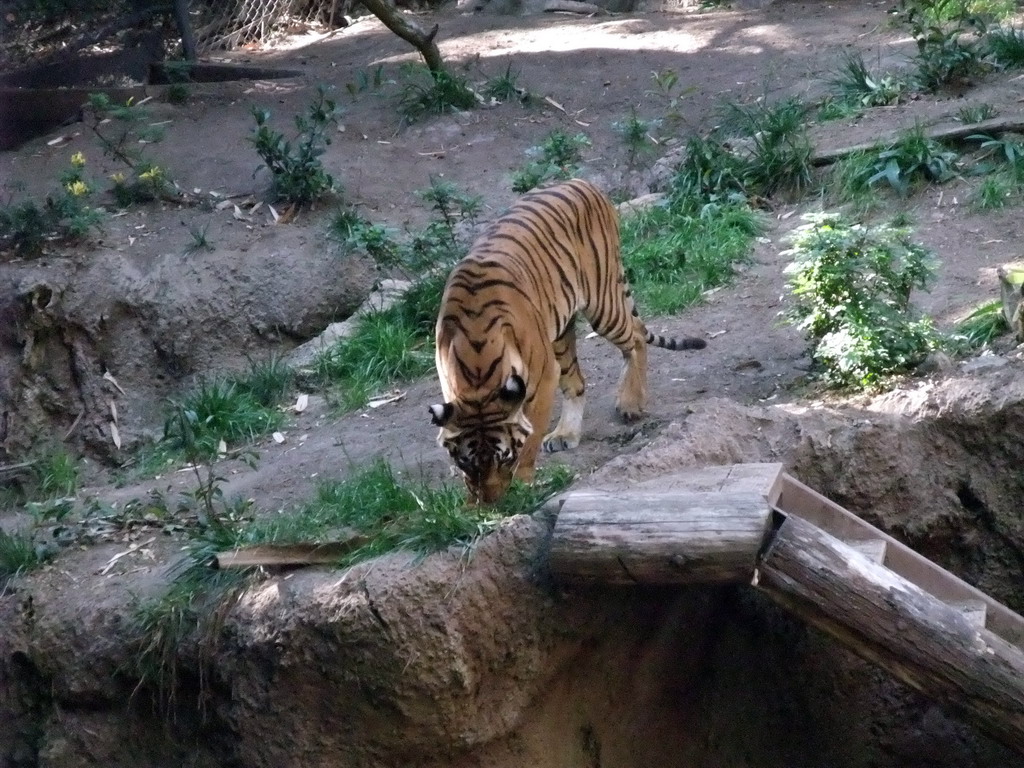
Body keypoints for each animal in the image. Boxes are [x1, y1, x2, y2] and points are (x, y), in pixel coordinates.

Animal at [425, 180, 704, 505]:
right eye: (466, 462)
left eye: (504, 458)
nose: (493, 504)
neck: (478, 368)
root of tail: (583, 182)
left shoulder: (543, 378)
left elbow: (530, 436)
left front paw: (523, 482)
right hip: (560, 332)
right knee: (578, 382)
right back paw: (566, 434)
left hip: (602, 304)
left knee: (635, 337)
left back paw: (631, 403)